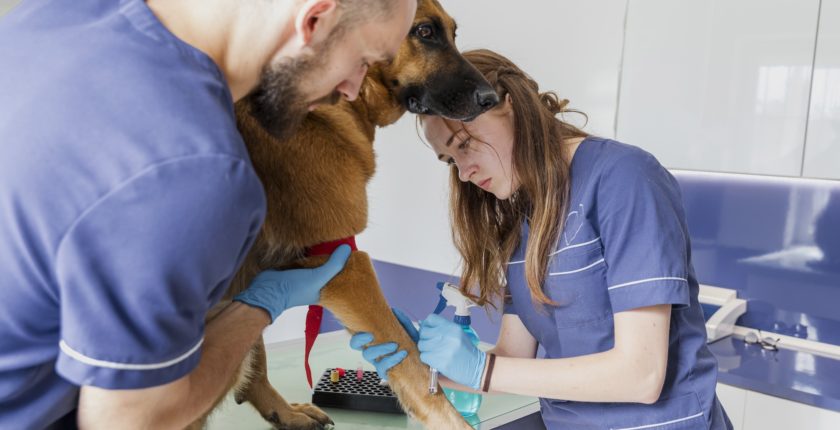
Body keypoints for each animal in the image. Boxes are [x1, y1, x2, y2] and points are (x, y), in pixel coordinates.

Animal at [190, 0, 498, 430]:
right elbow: (411, 362)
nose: (492, 98)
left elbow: (259, 350)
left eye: (453, 33)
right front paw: (451, 420)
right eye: (424, 32)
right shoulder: (347, 262)